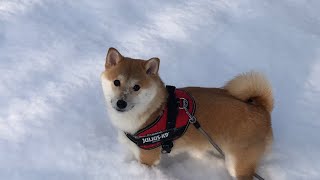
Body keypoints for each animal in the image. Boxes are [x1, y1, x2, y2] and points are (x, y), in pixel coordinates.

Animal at [101, 47, 274, 180]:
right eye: (116, 82)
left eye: (136, 87)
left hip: (237, 163)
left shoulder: (148, 158)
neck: (154, 110)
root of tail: (261, 108)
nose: (121, 103)